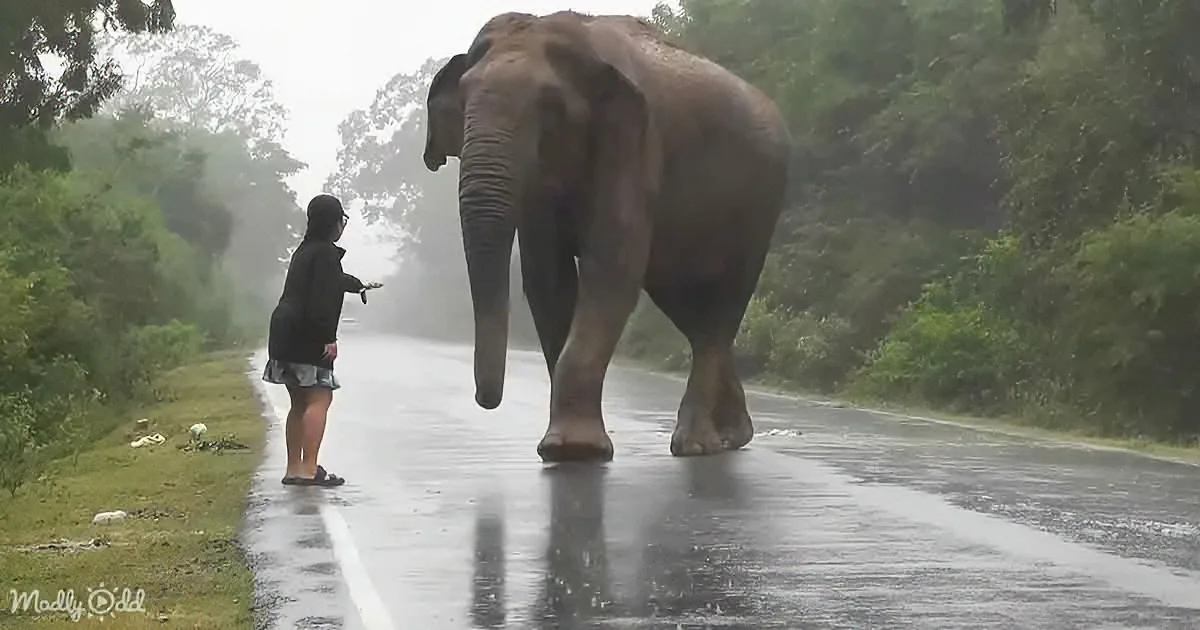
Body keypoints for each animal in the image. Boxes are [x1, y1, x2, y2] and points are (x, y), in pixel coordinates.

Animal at [422, 11, 790, 462]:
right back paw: (732, 437)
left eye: (550, 106)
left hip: (760, 205)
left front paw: (573, 449)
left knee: (723, 307)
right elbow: (548, 280)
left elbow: (611, 267)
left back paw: (696, 445)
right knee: (688, 308)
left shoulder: (634, 143)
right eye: (463, 99)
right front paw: (567, 448)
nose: (486, 401)